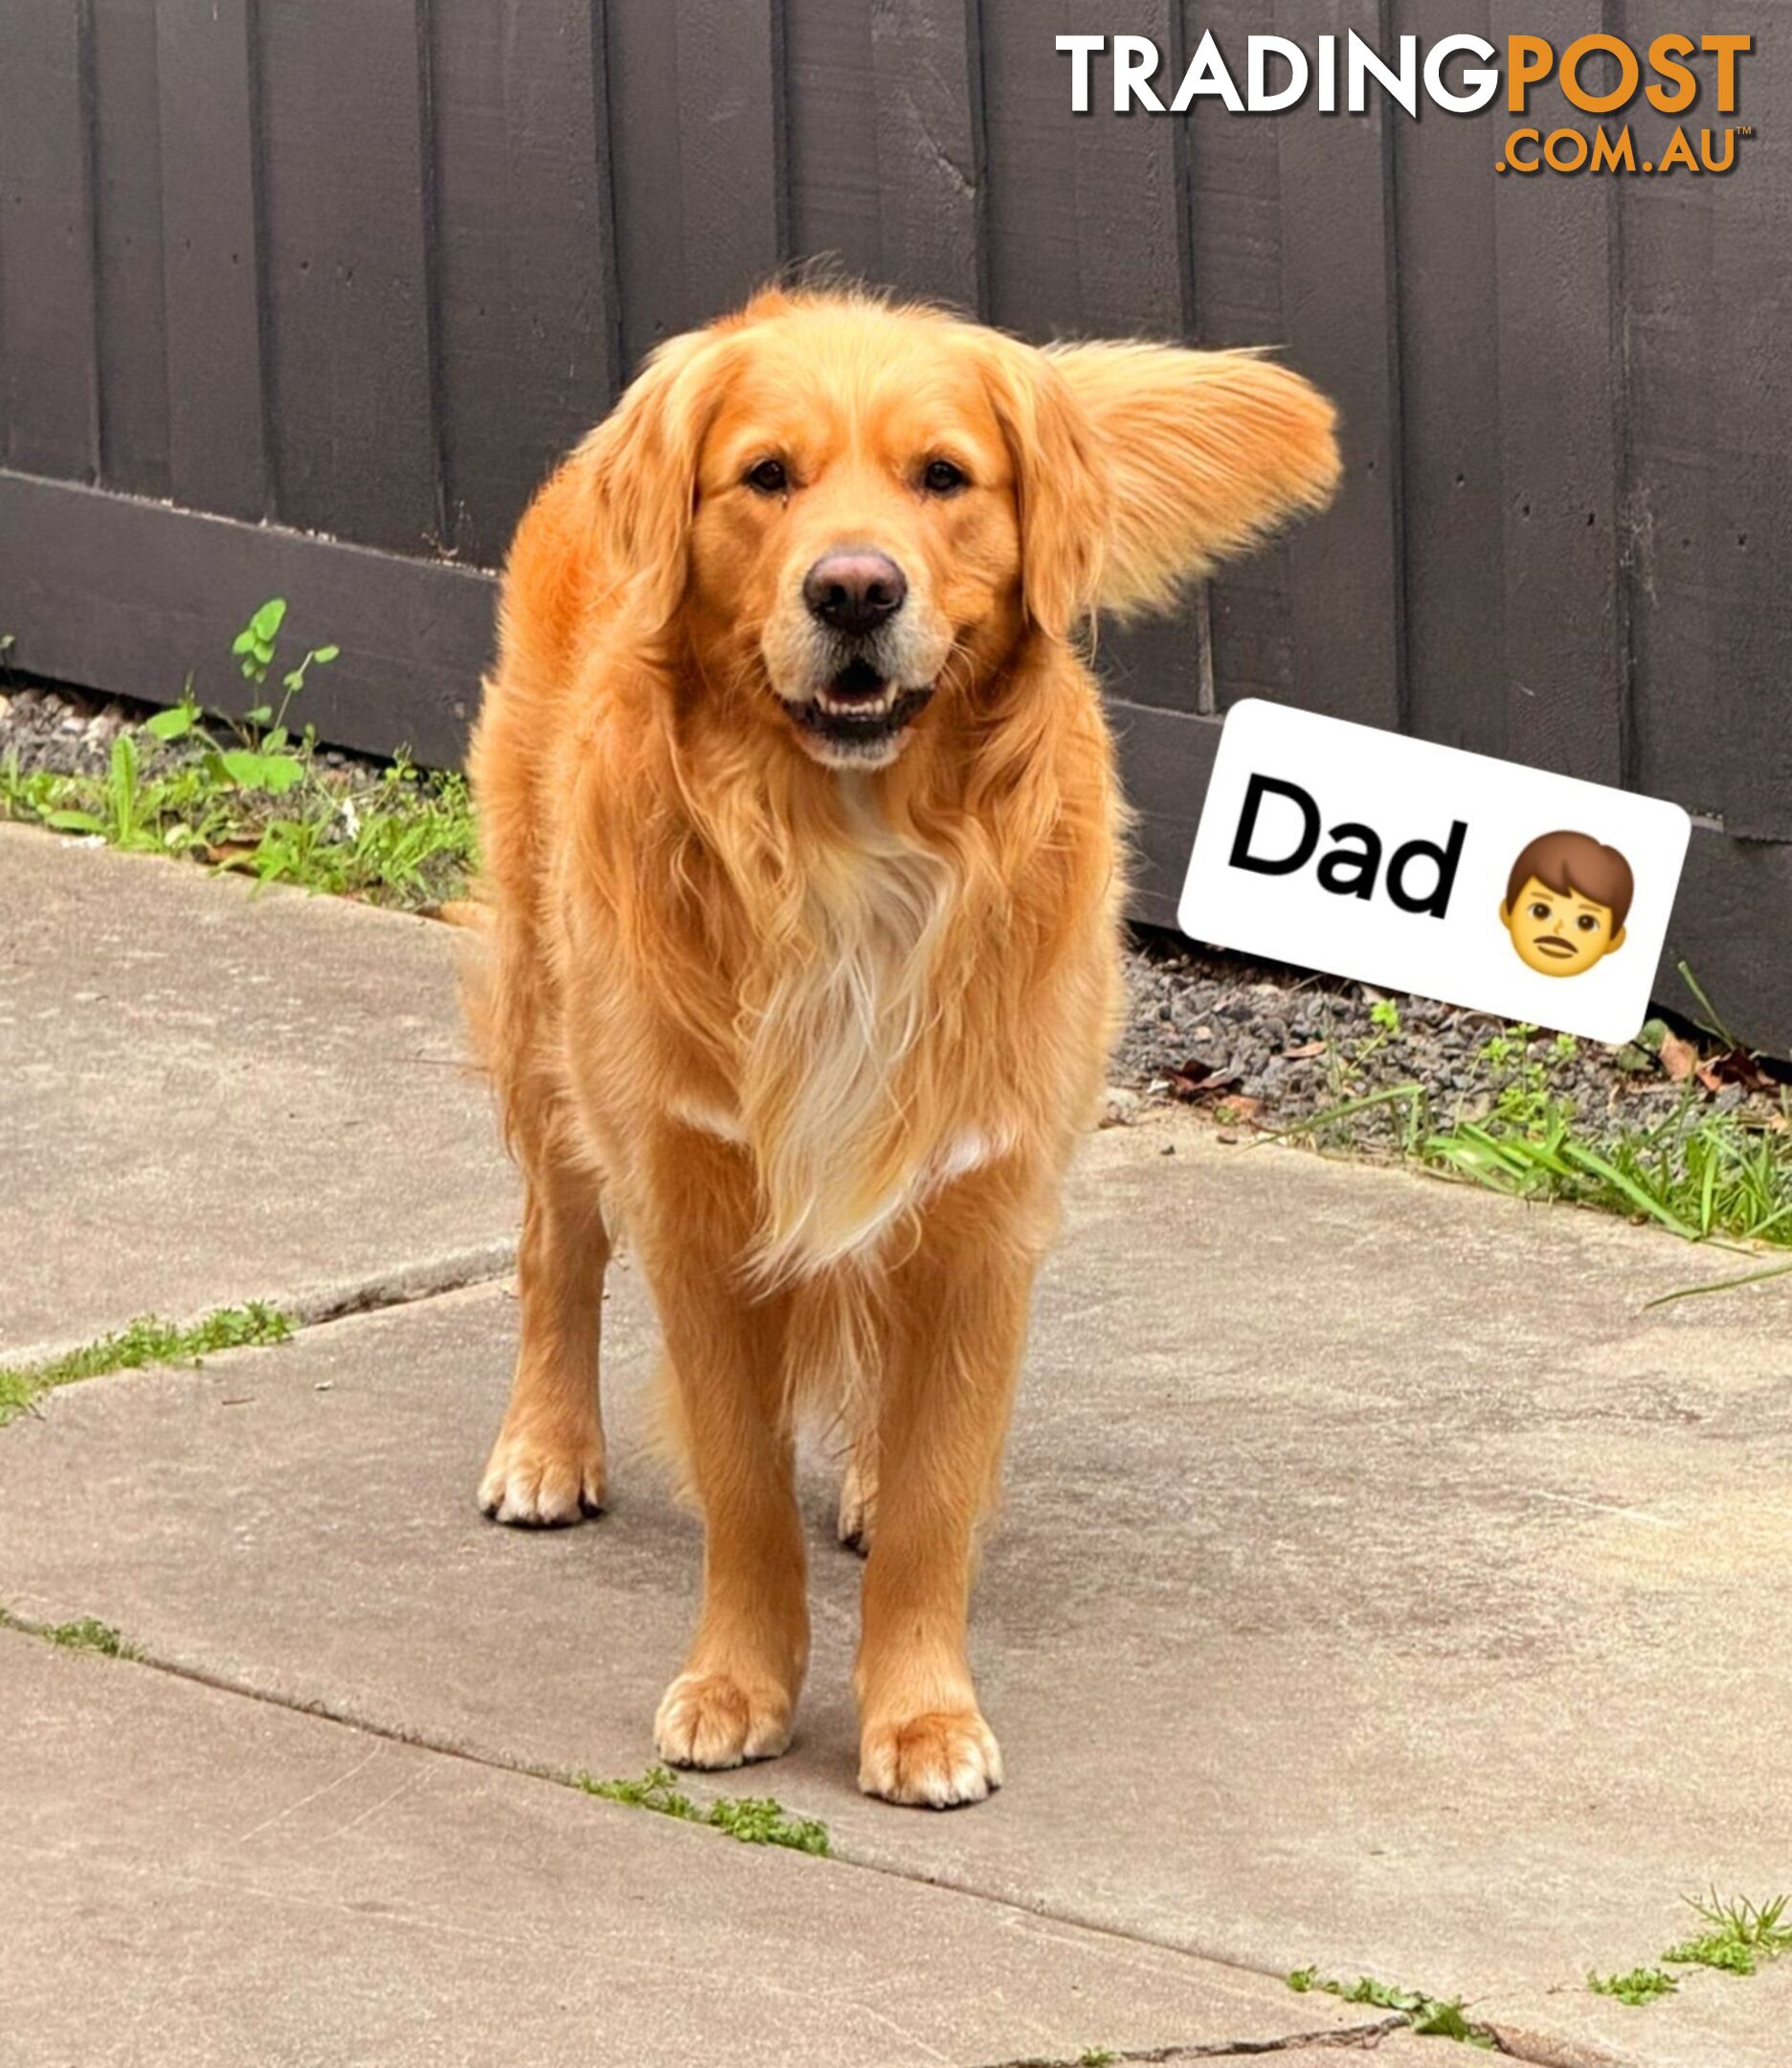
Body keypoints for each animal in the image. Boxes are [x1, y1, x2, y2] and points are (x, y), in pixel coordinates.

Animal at [469, 282, 1339, 1803]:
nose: (856, 589)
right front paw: (740, 1685)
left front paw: (921, 1712)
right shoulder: (699, 1199)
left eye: (944, 477)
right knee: (554, 1242)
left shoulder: (982, 1205)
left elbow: (940, 1492)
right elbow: (744, 1485)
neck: (846, 847)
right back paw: (546, 1443)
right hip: (549, 1011)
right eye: (767, 476)